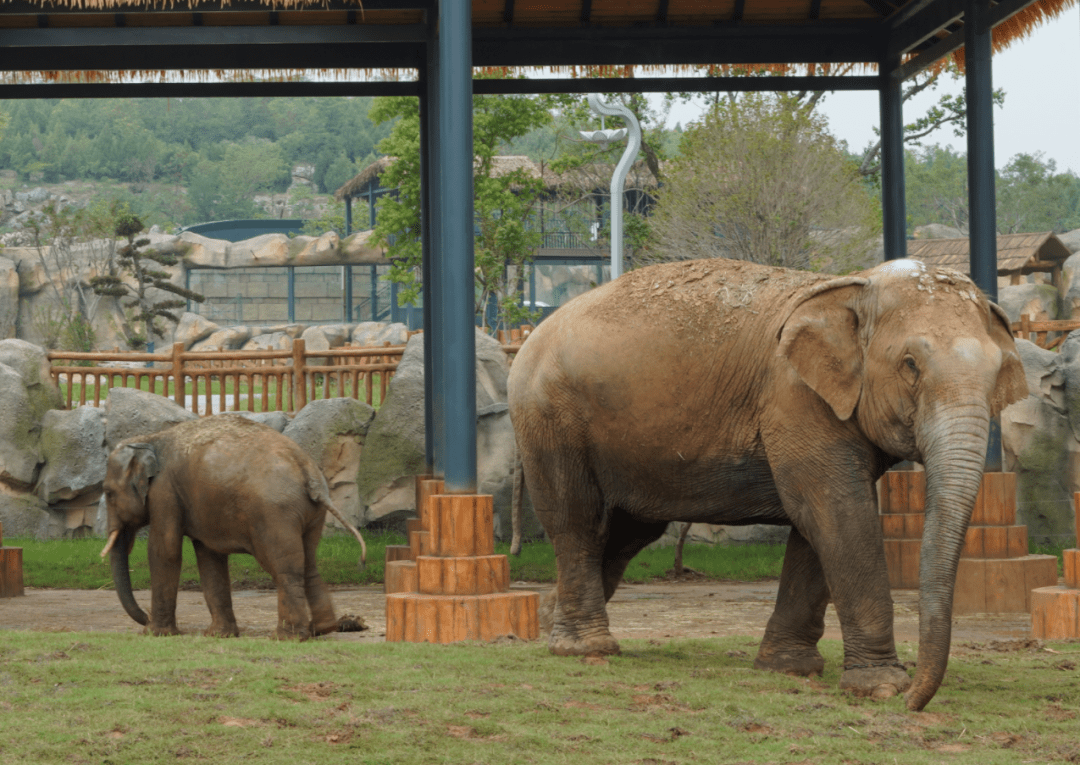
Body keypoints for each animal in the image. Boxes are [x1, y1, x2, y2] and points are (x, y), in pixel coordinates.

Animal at [103, 412, 369, 639]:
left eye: (107, 493)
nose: (144, 617)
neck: (149, 439)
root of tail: (309, 475)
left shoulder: (164, 490)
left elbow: (165, 550)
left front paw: (155, 634)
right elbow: (209, 557)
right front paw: (218, 635)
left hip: (275, 514)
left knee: (284, 567)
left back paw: (287, 637)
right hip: (311, 514)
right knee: (309, 561)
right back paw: (320, 629)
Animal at [509, 258, 1023, 713]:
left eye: (998, 372)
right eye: (911, 364)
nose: (915, 701)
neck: (851, 285)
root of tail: (529, 338)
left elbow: (817, 525)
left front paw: (789, 669)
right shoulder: (794, 398)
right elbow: (837, 511)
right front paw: (880, 688)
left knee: (626, 533)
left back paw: (545, 620)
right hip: (550, 418)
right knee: (579, 522)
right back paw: (586, 649)